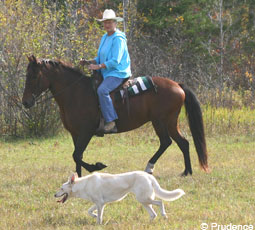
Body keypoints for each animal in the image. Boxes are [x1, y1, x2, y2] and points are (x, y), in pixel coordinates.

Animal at [22, 54, 209, 177]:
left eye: (34, 75)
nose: (26, 102)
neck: (77, 93)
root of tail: (177, 85)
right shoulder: (75, 133)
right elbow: (77, 156)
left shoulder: (86, 132)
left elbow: (77, 155)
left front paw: (97, 166)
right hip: (169, 122)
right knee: (182, 142)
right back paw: (186, 171)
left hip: (161, 121)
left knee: (167, 142)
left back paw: (150, 167)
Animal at [54, 172, 184, 224]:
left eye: (61, 188)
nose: (54, 195)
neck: (84, 184)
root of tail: (148, 175)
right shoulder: (99, 203)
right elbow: (89, 211)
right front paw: (94, 215)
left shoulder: (100, 204)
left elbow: (99, 217)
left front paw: (98, 223)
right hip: (144, 201)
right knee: (153, 214)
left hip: (144, 199)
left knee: (160, 202)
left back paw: (164, 215)